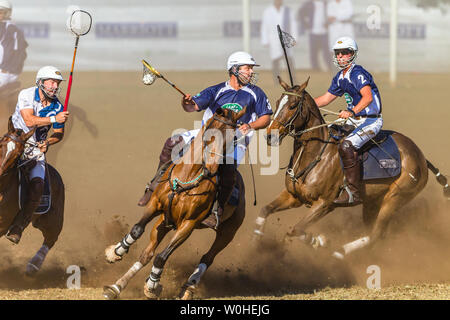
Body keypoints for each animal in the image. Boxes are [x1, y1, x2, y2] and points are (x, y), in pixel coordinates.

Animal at [0, 117, 65, 276]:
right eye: (1, 144)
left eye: (18, 154)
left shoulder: (2, 223)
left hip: (52, 219)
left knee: (51, 238)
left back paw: (33, 265)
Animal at [103, 107, 246, 300]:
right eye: (212, 132)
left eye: (233, 138)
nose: (213, 168)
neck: (188, 174)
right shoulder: (156, 204)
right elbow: (137, 230)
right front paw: (116, 251)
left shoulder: (189, 224)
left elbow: (162, 256)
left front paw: (152, 286)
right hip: (165, 220)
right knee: (146, 253)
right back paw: (116, 286)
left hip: (228, 232)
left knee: (207, 258)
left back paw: (187, 288)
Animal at [251, 78, 448, 260]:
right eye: (277, 102)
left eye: (292, 105)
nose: (270, 136)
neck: (315, 153)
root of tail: (421, 156)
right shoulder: (294, 196)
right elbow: (265, 210)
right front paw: (258, 244)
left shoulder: (325, 203)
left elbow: (296, 229)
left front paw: (319, 241)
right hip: (372, 202)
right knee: (375, 233)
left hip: (396, 197)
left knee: (376, 234)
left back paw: (341, 252)